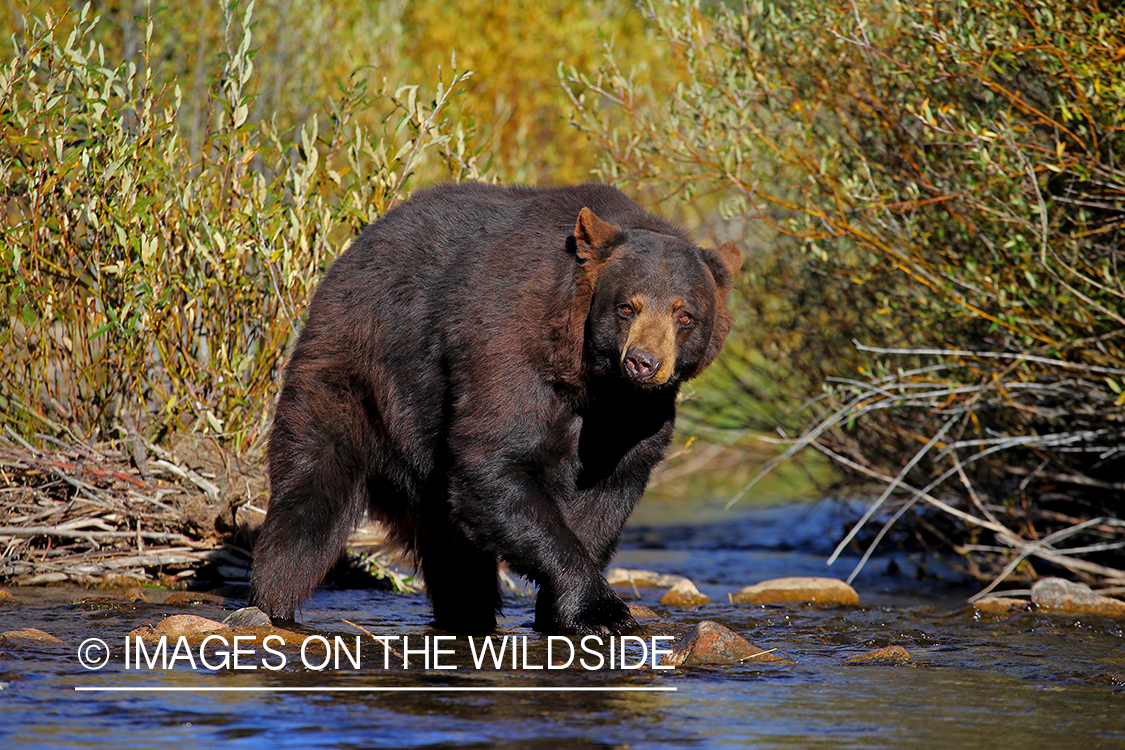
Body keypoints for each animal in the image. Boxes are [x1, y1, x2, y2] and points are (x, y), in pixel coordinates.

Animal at [248, 182, 738, 634]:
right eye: (626, 306)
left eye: (684, 314)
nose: (642, 361)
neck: (588, 379)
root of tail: (349, 256)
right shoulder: (509, 349)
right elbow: (495, 464)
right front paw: (603, 612)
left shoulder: (634, 417)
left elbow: (608, 495)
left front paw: (563, 612)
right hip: (352, 382)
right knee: (309, 499)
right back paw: (273, 603)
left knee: (453, 553)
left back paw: (466, 614)